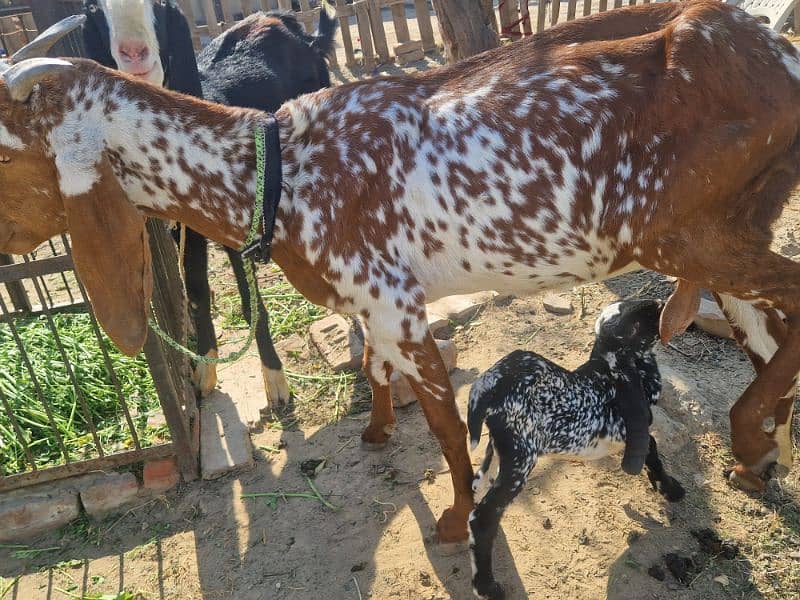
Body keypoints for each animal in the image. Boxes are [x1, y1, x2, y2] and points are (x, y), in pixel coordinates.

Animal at [1, 1, 800, 544]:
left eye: (8, 153)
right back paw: (761, 455)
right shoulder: (372, 301)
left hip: (687, 235)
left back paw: (752, 434)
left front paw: (453, 517)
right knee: (770, 325)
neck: (277, 169)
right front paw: (379, 429)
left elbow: (446, 425)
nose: (7, 249)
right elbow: (374, 369)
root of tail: (777, 57)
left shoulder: (397, 305)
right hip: (728, 232)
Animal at [466, 298, 684, 596]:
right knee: (483, 518)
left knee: (479, 481)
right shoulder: (632, 430)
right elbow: (653, 451)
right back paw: (486, 586)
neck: (610, 375)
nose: (661, 303)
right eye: (641, 319)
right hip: (521, 460)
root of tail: (489, 386)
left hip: (502, 448)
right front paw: (671, 489)